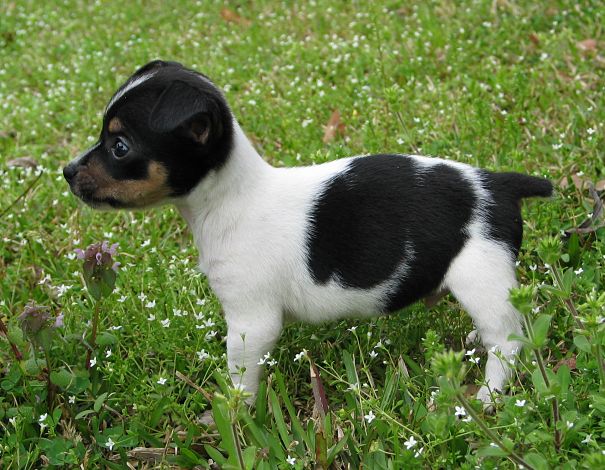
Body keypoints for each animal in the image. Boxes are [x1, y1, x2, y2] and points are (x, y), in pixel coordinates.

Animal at [62, 60, 552, 406]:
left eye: (119, 146)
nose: (66, 172)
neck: (230, 199)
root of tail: (499, 184)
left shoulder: (251, 320)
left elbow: (241, 378)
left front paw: (233, 414)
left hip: (481, 276)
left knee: (507, 341)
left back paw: (487, 397)